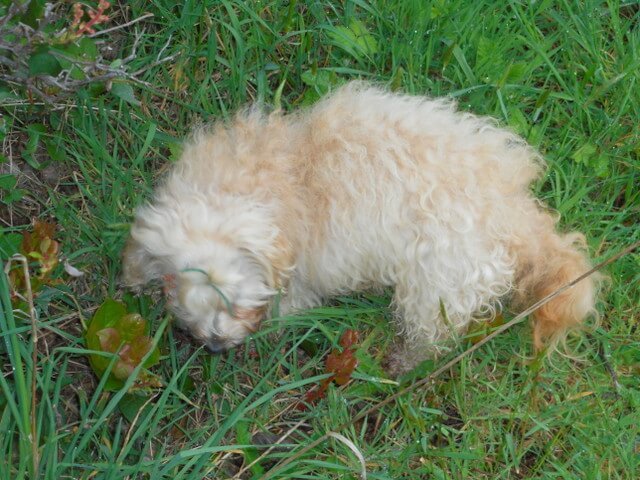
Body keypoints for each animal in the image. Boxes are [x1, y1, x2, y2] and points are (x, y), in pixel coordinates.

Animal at [121, 82, 600, 368]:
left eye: (233, 301)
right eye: (179, 294)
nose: (216, 345)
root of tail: (511, 209)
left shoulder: (297, 280)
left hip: (437, 289)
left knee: (432, 335)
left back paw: (404, 363)